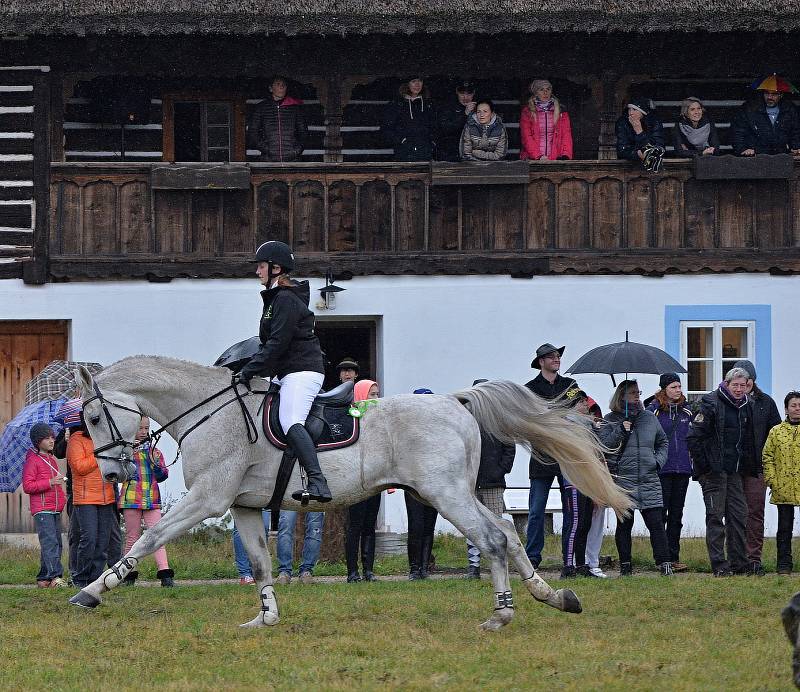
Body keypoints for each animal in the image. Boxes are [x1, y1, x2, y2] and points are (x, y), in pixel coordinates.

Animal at [69, 356, 632, 632]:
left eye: (93, 417)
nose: (113, 475)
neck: (211, 409)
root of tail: (454, 401)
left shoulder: (207, 499)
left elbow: (147, 540)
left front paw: (91, 591)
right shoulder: (245, 507)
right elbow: (262, 562)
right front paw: (265, 617)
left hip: (444, 494)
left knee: (493, 541)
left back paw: (502, 614)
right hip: (457, 492)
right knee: (509, 538)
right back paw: (553, 596)